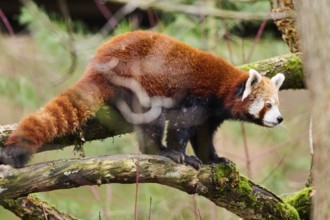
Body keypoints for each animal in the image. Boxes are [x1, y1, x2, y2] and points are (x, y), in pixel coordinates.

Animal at [0, 30, 284, 168]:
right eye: (268, 105)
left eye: (277, 105)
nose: (280, 119)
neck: (223, 87)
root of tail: (97, 64)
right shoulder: (197, 97)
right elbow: (180, 127)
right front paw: (182, 155)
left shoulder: (211, 114)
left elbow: (203, 136)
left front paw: (213, 158)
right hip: (137, 81)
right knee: (152, 119)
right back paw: (161, 151)